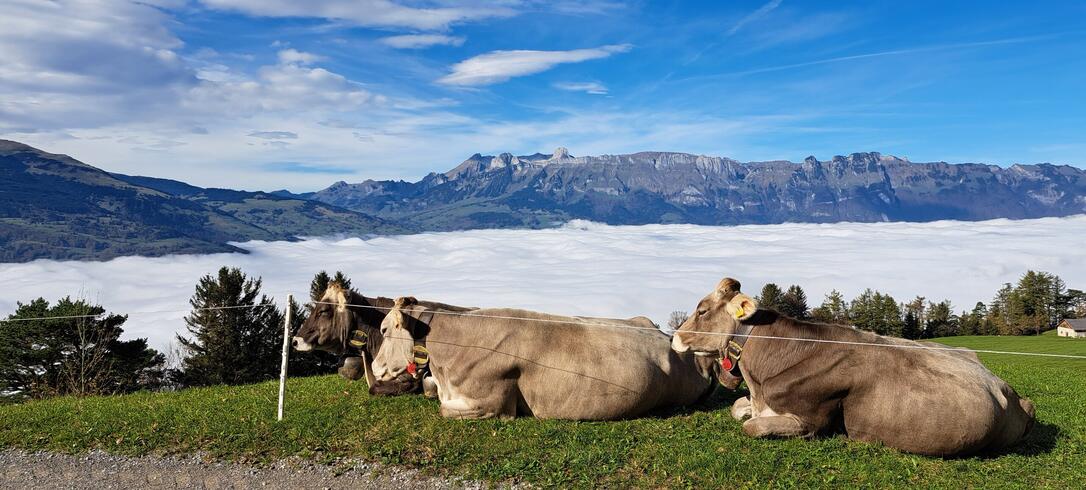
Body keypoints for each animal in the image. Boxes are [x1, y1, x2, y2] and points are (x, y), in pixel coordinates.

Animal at [668, 278, 1033, 458]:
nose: (675, 338)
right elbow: (737, 409)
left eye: (702, 311)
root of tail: (1009, 393)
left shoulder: (809, 420)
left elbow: (751, 427)